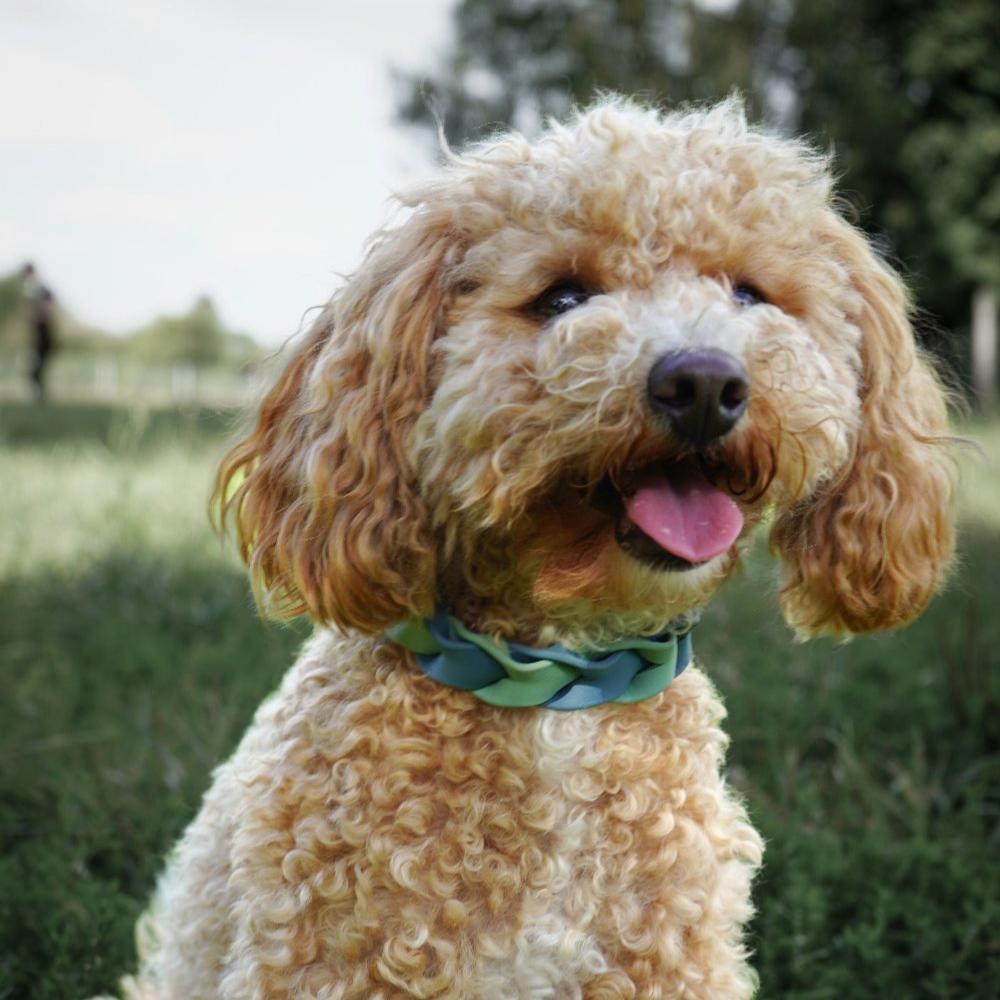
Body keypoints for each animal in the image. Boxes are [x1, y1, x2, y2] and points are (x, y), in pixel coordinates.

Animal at [121, 99, 956, 1000]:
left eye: (748, 293)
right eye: (562, 295)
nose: (703, 383)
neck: (558, 684)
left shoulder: (671, 959)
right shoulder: (328, 960)